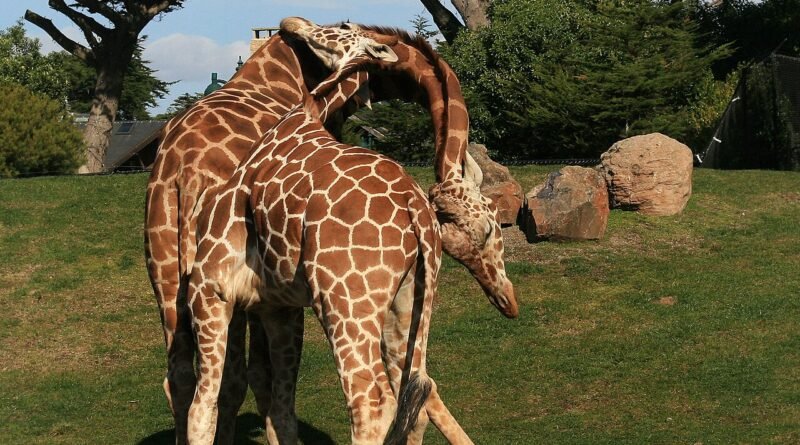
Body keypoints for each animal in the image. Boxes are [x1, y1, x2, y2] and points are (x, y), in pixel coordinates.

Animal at [145, 18, 401, 443]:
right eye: (348, 26)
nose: (389, 48)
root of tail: (187, 172)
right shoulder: (271, 296)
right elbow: (266, 382)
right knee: (234, 383)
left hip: (165, 270)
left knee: (180, 379)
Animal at [185, 51, 496, 444]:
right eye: (483, 228)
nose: (506, 301)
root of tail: (415, 207)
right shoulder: (276, 308)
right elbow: (278, 412)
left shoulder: (210, 289)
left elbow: (203, 406)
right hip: (406, 303)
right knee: (414, 390)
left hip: (343, 302)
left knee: (373, 400)